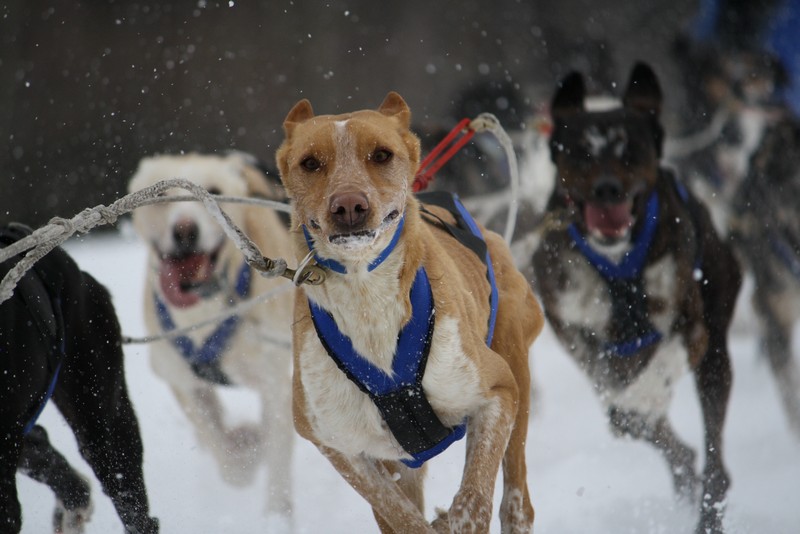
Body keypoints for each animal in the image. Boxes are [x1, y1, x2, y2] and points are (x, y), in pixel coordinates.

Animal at [128, 152, 296, 532]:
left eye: (216, 191)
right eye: (161, 196)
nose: (185, 230)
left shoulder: (276, 383)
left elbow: (277, 458)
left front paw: (276, 518)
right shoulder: (182, 381)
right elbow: (214, 436)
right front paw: (242, 449)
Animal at [276, 91, 544, 532]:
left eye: (381, 154)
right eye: (310, 163)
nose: (348, 205)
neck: (366, 303)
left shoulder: (497, 391)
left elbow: (472, 502)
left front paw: (456, 518)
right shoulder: (340, 446)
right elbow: (402, 517)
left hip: (515, 365)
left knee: (516, 498)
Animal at [532, 63, 744, 534]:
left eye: (631, 151)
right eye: (581, 153)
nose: (608, 189)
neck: (618, 263)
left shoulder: (690, 327)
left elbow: (651, 380)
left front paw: (642, 398)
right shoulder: (572, 330)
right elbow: (611, 392)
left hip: (715, 354)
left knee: (715, 463)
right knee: (669, 445)